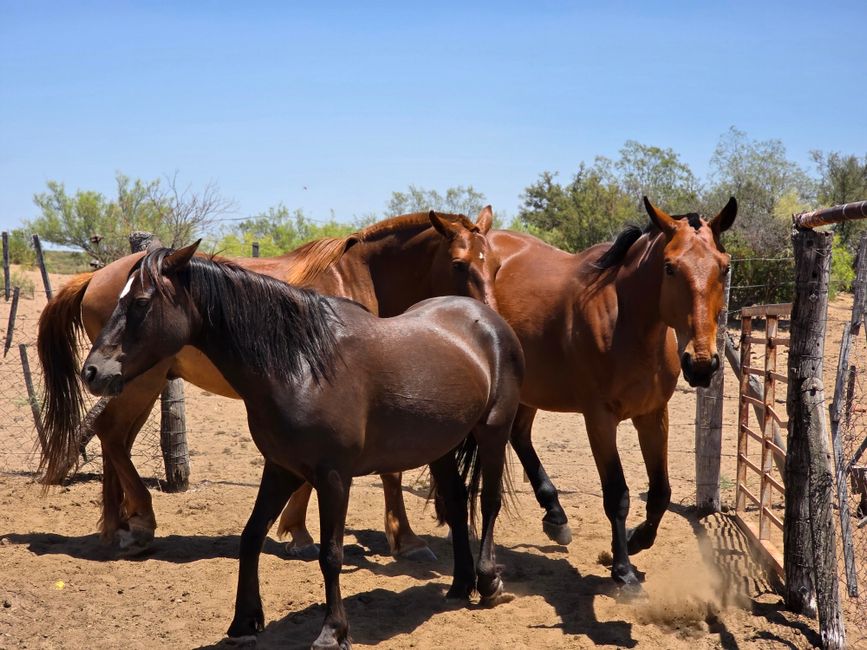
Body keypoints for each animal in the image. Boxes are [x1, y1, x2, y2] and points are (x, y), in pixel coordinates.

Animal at [37, 208, 500, 558]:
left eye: (495, 264)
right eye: (459, 264)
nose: (494, 317)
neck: (359, 275)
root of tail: (92, 278)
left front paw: (299, 530)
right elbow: (388, 470)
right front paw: (402, 539)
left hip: (136, 382)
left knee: (115, 439)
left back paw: (118, 525)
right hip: (138, 380)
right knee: (112, 435)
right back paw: (139, 522)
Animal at [80, 243, 524, 648]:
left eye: (140, 302)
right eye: (119, 299)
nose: (93, 372)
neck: (303, 366)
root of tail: (488, 319)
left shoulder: (333, 478)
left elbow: (331, 554)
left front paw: (333, 631)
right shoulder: (280, 468)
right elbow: (251, 536)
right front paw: (245, 620)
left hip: (493, 431)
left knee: (489, 502)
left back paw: (488, 582)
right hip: (443, 446)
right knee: (457, 502)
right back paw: (460, 585)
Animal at [367, 197, 737, 591]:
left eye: (724, 267)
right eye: (670, 267)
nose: (701, 364)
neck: (627, 322)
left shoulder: (652, 415)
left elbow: (661, 492)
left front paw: (637, 540)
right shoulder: (599, 419)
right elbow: (617, 494)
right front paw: (622, 569)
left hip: (528, 391)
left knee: (519, 436)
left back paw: (555, 515)